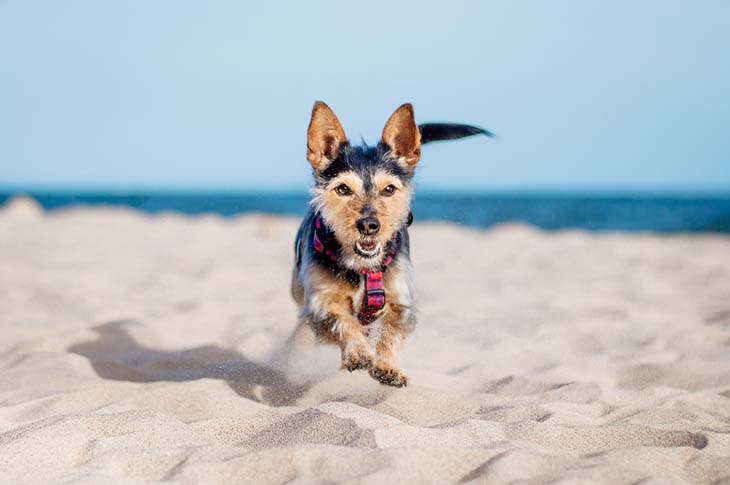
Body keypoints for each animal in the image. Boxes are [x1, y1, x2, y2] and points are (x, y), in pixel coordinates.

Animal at [290, 102, 490, 386]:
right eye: (342, 189)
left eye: (389, 189)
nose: (368, 225)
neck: (363, 268)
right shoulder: (319, 303)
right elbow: (343, 321)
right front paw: (358, 352)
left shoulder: (402, 302)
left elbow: (390, 333)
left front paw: (387, 365)